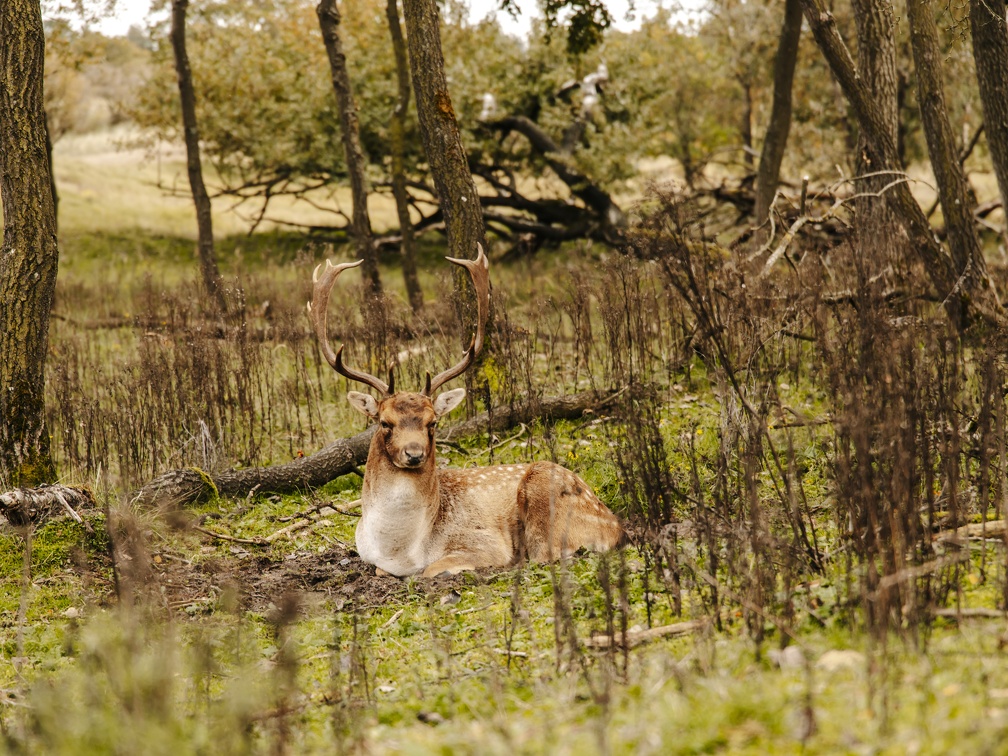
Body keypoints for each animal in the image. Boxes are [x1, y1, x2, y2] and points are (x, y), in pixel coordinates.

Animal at [306, 245, 620, 576]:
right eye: (384, 422)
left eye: (432, 422)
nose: (414, 453)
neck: (401, 551)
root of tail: (615, 523)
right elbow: (383, 571)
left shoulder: (484, 543)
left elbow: (430, 571)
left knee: (547, 555)